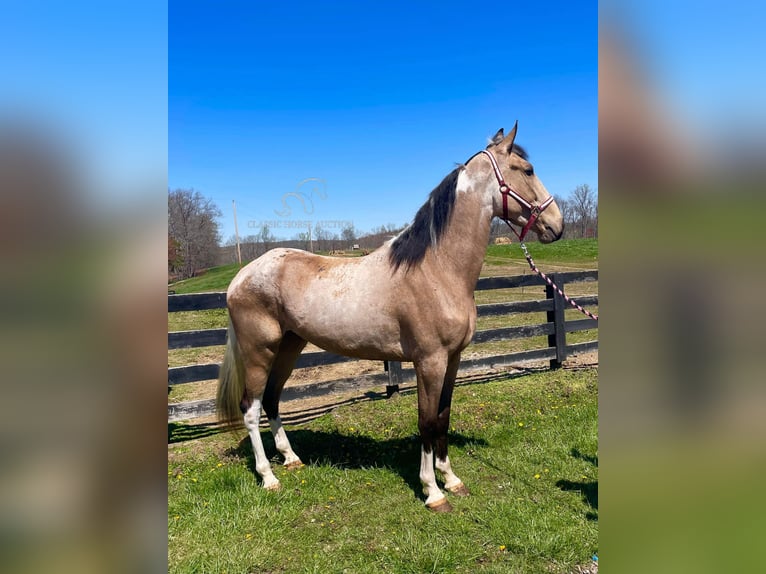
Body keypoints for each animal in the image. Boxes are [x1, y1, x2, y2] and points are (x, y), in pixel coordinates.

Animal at [216, 122, 564, 512]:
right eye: (528, 170)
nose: (557, 224)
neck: (437, 269)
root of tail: (241, 277)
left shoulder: (453, 359)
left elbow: (442, 417)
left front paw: (452, 479)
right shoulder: (429, 361)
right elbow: (426, 421)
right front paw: (432, 491)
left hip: (290, 346)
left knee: (273, 399)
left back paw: (291, 460)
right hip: (259, 351)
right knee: (250, 407)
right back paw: (268, 477)